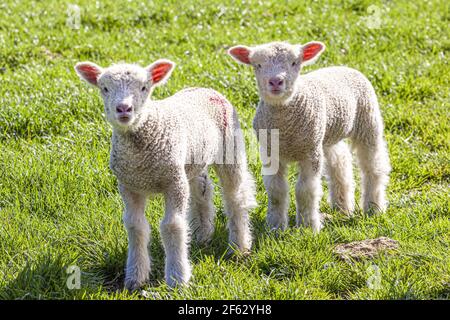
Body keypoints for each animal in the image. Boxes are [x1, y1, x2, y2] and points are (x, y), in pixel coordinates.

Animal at [75, 58, 255, 290]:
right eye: (104, 88)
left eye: (144, 87)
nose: (124, 108)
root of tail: (205, 88)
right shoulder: (129, 186)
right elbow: (135, 227)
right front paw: (135, 278)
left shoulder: (173, 183)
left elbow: (171, 226)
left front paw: (177, 278)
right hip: (191, 161)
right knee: (202, 189)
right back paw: (202, 234)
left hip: (229, 149)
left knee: (235, 197)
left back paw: (239, 246)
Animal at [229, 42, 390, 232]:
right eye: (258, 65)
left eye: (294, 63)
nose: (276, 81)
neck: (285, 128)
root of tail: (342, 66)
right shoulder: (271, 153)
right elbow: (276, 191)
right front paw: (275, 226)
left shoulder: (310, 153)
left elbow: (304, 191)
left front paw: (308, 227)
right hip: (326, 135)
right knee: (340, 161)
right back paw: (342, 206)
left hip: (367, 122)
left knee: (373, 167)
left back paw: (373, 207)